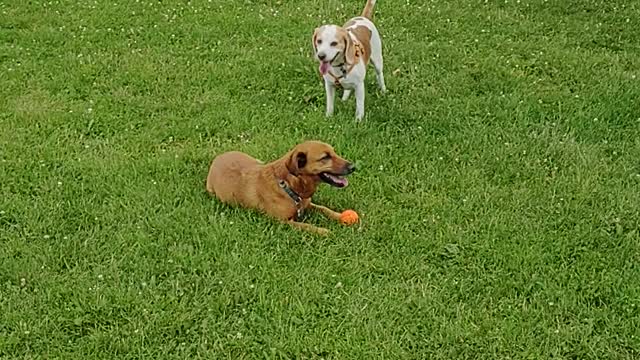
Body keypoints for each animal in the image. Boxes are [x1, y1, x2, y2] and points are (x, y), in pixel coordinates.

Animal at [206, 139, 352, 235]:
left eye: (334, 152)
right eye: (325, 157)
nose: (353, 167)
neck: (287, 185)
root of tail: (218, 157)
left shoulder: (307, 204)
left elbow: (324, 209)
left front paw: (339, 216)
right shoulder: (283, 221)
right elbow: (305, 225)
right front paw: (323, 231)